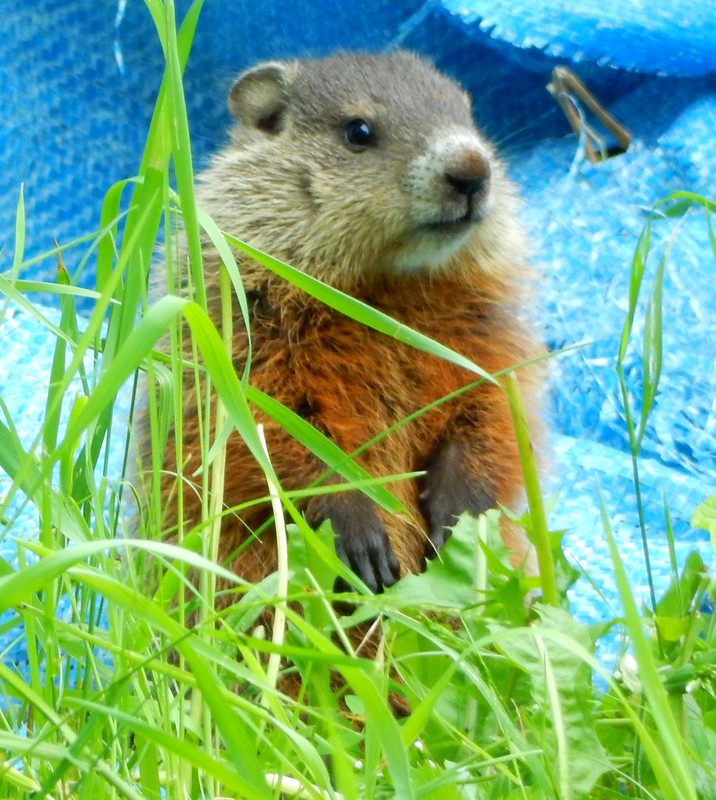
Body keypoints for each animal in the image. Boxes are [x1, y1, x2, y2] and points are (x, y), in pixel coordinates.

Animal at [150, 50, 543, 598]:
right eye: (358, 131)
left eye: (467, 113)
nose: (473, 169)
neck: (390, 292)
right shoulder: (244, 322)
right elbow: (266, 420)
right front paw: (360, 533)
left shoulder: (485, 327)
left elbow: (494, 404)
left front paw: (465, 517)